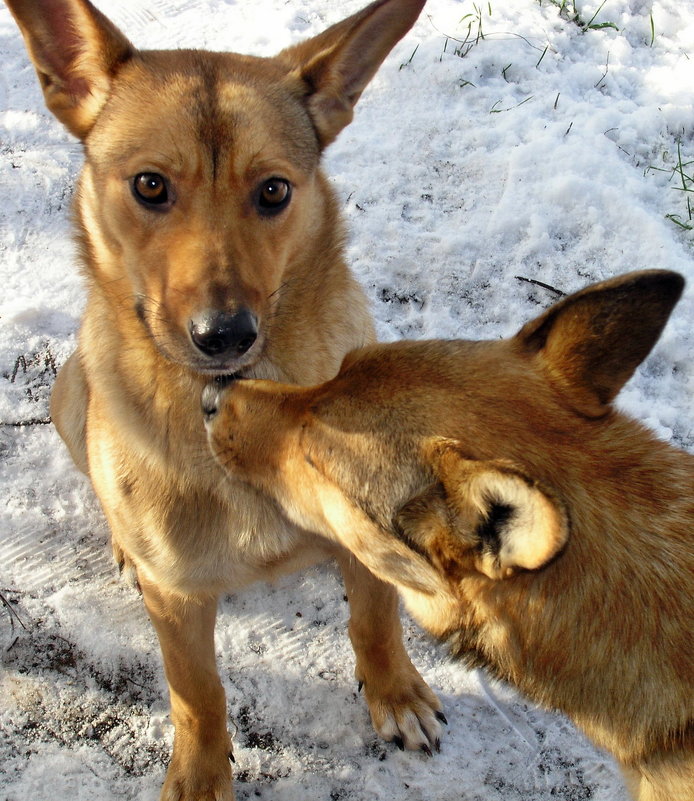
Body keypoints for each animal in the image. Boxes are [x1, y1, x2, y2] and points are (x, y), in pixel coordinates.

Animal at [4, 0, 446, 796]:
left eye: (273, 191)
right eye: (150, 186)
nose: (225, 335)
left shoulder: (366, 544)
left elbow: (375, 621)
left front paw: (395, 693)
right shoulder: (178, 604)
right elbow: (197, 692)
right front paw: (201, 773)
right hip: (71, 397)